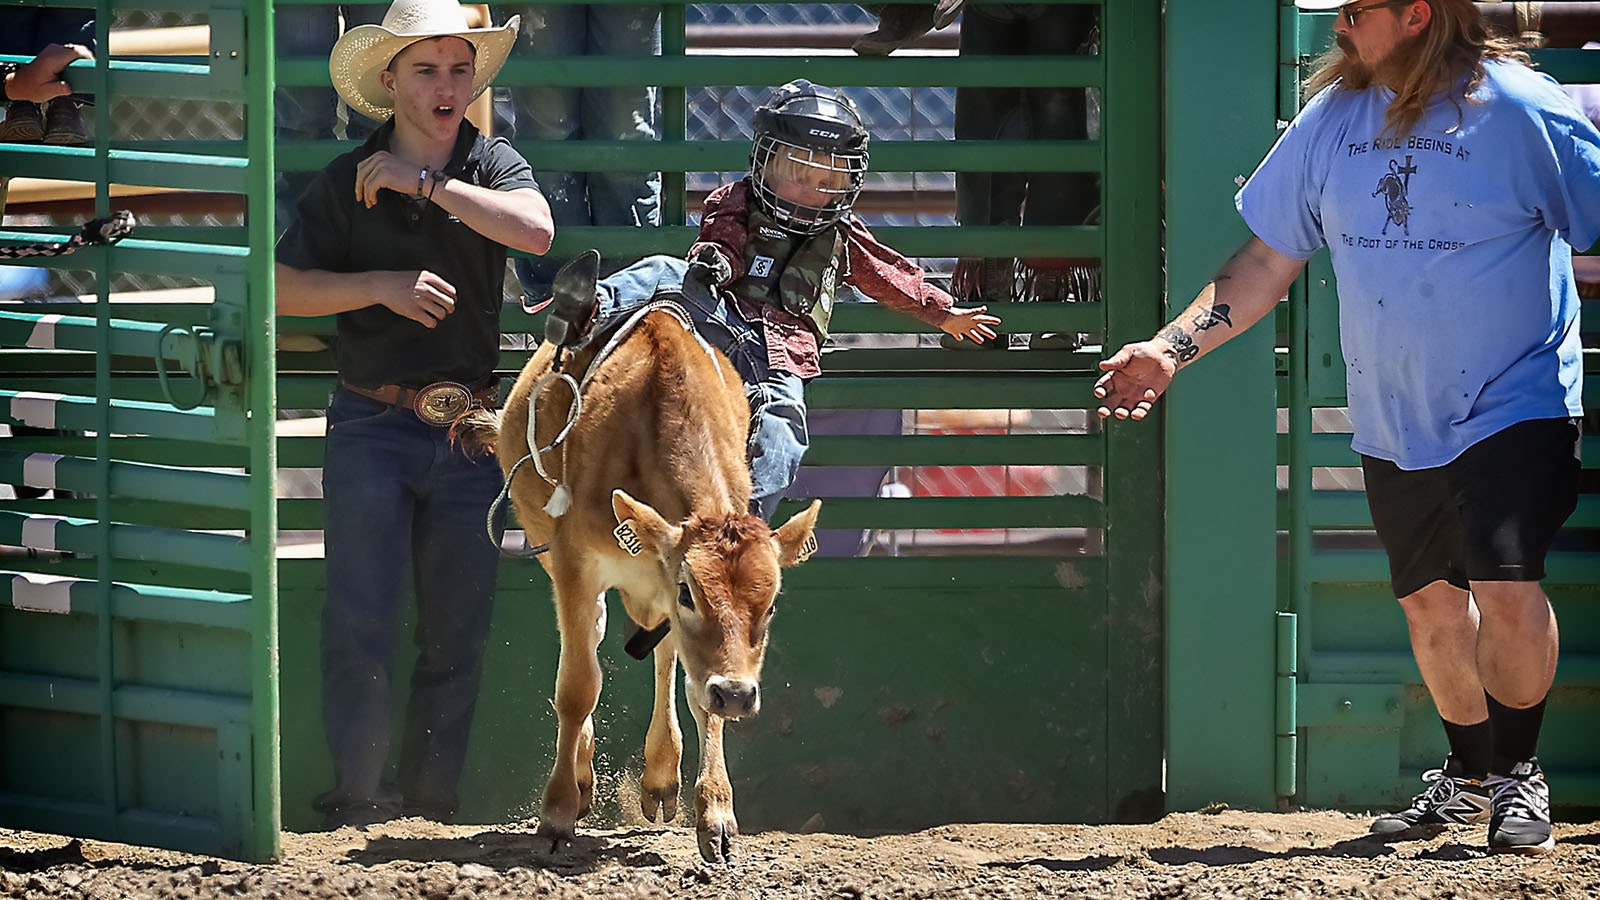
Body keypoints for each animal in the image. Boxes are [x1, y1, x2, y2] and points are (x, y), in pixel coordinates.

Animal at [467, 310, 819, 864]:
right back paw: (583, 776)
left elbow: (698, 692)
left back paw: (660, 776)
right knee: (590, 641)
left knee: (665, 658)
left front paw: (715, 814)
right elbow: (577, 688)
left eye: (769, 607)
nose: (737, 695)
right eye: (689, 592)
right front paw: (557, 813)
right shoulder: (576, 564)